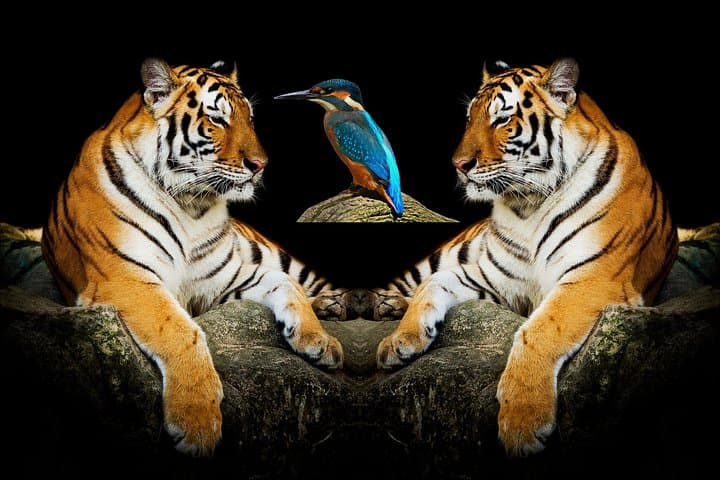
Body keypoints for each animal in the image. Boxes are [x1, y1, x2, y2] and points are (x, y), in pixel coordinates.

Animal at [41, 58, 343, 457]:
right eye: (217, 120)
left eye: (250, 119)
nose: (260, 164)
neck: (191, 207)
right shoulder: (126, 278)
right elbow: (181, 331)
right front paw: (197, 422)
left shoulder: (227, 279)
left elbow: (287, 284)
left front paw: (317, 339)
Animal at [374, 58, 678, 456]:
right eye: (469, 118)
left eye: (502, 119)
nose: (459, 164)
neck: (528, 206)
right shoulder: (491, 278)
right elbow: (431, 285)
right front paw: (401, 339)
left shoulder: (593, 278)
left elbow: (538, 331)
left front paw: (522, 421)